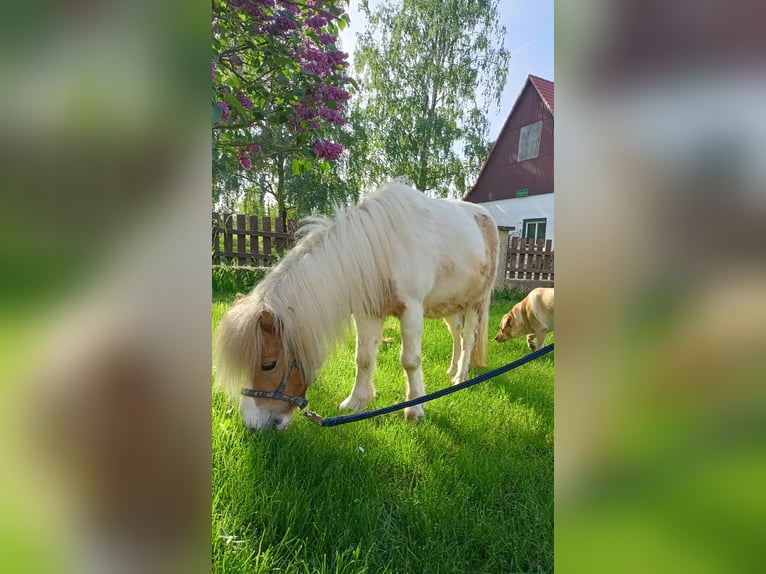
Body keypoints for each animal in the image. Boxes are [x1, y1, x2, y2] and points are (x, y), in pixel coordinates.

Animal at [213, 181, 500, 432]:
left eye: (269, 364)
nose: (253, 425)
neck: (381, 248)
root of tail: (487, 217)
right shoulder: (368, 313)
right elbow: (363, 358)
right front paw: (357, 402)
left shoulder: (411, 311)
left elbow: (410, 361)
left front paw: (415, 409)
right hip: (450, 306)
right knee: (455, 334)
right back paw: (452, 369)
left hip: (475, 302)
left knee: (467, 339)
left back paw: (460, 376)